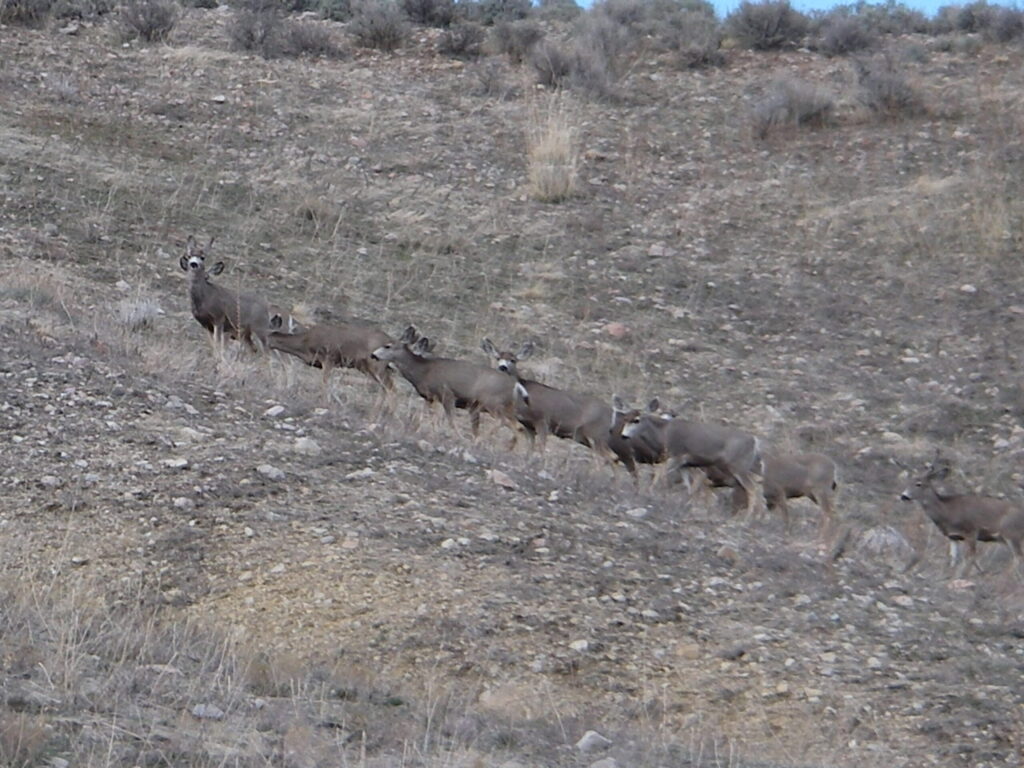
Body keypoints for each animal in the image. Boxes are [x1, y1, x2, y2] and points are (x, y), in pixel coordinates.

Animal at [370, 327, 518, 437]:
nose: (373, 354)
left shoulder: (447, 394)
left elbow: (449, 421)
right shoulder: (429, 397)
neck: (423, 371)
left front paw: (458, 437)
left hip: (492, 403)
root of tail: (515, 386)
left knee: (504, 421)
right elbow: (424, 417)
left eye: (387, 346)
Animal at [613, 396, 765, 519]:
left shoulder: (677, 457)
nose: (623, 436)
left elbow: (660, 476)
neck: (663, 434)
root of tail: (755, 441)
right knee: (756, 488)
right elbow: (688, 486)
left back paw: (747, 519)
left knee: (752, 489)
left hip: (738, 466)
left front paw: (650, 494)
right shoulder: (685, 465)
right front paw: (687, 505)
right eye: (625, 418)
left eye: (636, 420)